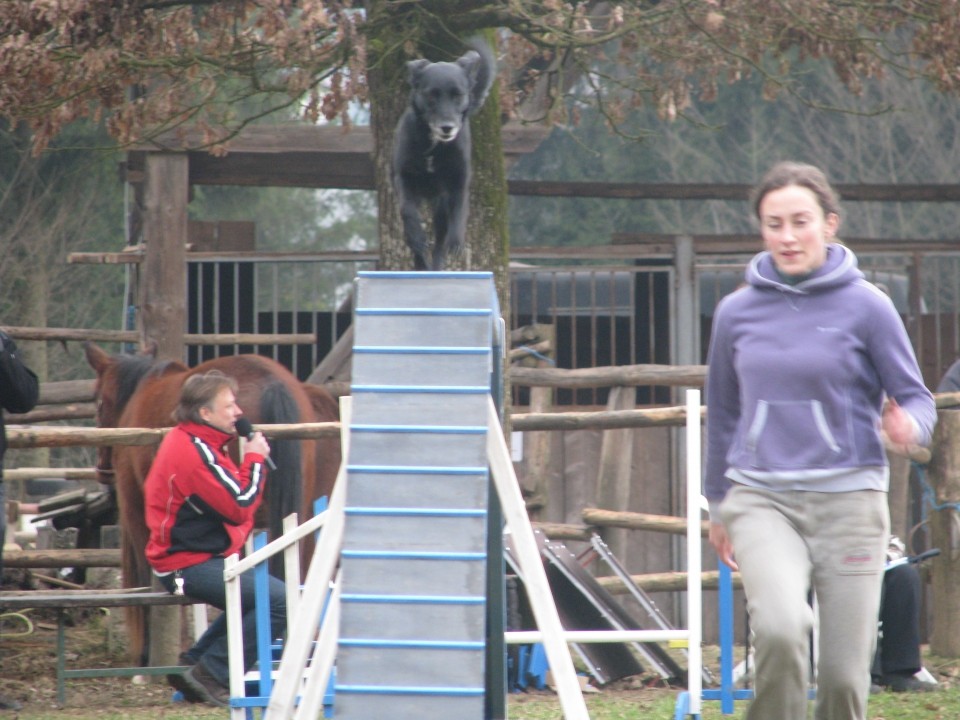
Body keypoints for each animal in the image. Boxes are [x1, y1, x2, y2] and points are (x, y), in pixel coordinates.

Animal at [390, 38, 496, 272]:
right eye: (432, 95)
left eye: (458, 95)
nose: (447, 127)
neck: (434, 146)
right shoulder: (404, 177)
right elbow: (407, 211)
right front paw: (417, 238)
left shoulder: (458, 182)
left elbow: (458, 214)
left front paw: (455, 243)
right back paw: (420, 261)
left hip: (440, 205)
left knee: (439, 242)